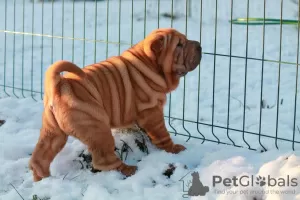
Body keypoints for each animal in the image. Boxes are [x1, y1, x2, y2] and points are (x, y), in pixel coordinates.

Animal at [29, 28, 202, 183]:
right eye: (179, 45)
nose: (199, 45)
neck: (149, 63)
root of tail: (60, 84)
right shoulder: (152, 111)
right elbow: (162, 134)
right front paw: (174, 149)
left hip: (53, 132)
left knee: (39, 158)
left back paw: (43, 180)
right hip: (97, 128)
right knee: (103, 161)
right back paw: (129, 170)